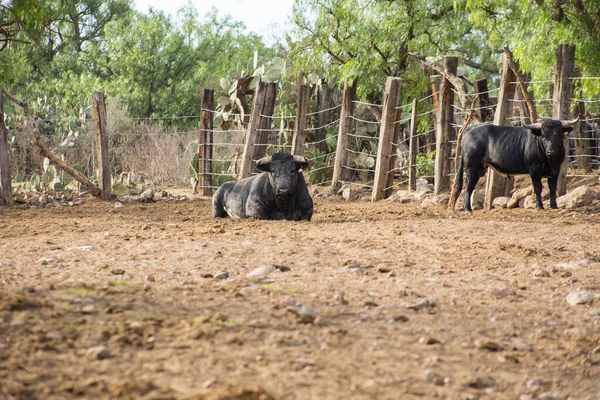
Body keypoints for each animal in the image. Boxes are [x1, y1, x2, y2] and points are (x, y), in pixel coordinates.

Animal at [452, 119, 580, 212]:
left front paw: (554, 206)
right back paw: (467, 209)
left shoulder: (555, 171)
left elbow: (553, 189)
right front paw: (539, 207)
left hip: (478, 169)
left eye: (559, 136)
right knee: (468, 187)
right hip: (471, 168)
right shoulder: (534, 171)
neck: (550, 160)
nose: (551, 151)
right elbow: (538, 188)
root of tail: (472, 128)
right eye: (543, 137)